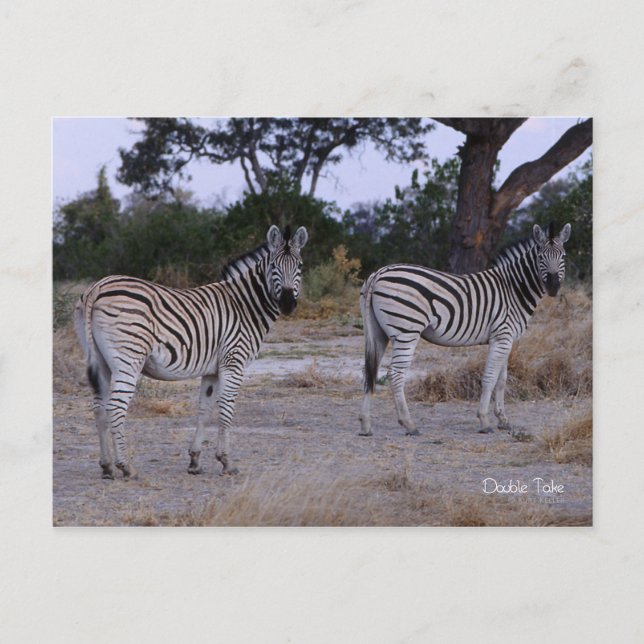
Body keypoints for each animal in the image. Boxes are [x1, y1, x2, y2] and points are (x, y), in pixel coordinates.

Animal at [74, 225, 308, 479]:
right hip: (128, 359)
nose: (287, 304)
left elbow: (204, 409)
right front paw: (226, 462)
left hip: (101, 361)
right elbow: (226, 409)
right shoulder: (233, 361)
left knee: (99, 408)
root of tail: (98, 286)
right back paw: (126, 467)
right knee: (116, 407)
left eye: (300, 266)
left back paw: (107, 466)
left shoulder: (212, 370)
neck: (245, 306)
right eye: (274, 266)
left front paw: (195, 460)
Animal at [358, 222, 571, 437]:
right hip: (406, 331)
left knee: (370, 371)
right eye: (540, 256)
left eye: (563, 256)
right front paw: (484, 420)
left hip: (378, 333)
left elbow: (502, 380)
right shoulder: (502, 336)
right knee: (395, 374)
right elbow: (490, 378)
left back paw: (366, 425)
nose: (553, 287)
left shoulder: (506, 339)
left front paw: (503, 420)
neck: (513, 289)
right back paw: (409, 424)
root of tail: (378, 274)